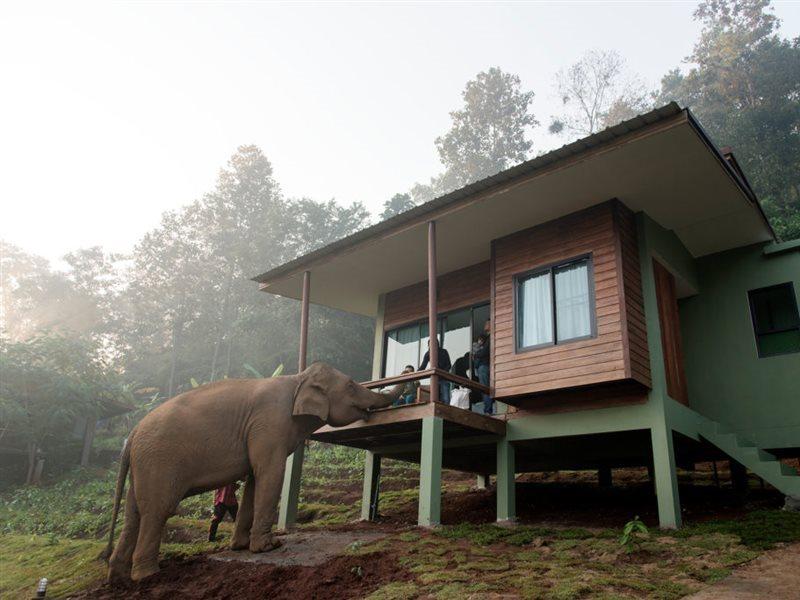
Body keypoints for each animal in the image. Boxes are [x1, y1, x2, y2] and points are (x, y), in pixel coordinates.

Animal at [103, 360, 404, 580]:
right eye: (351, 385)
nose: (407, 370)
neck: (297, 379)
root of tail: (132, 433)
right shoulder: (270, 423)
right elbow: (270, 474)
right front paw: (269, 547)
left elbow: (253, 480)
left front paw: (240, 546)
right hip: (159, 460)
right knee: (158, 510)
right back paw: (147, 575)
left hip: (143, 465)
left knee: (133, 514)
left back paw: (117, 576)